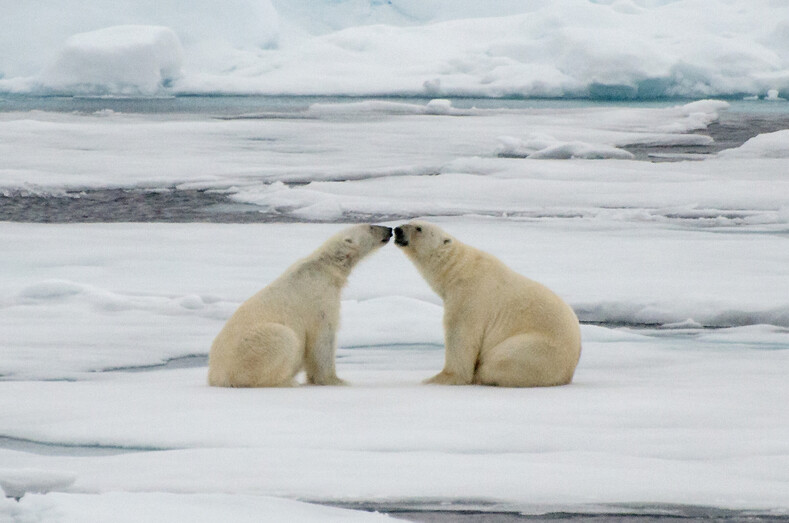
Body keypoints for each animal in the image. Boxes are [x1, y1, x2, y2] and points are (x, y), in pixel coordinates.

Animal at [208, 225, 392, 388]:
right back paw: (287, 382)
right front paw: (335, 380)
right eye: (371, 227)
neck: (324, 267)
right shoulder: (319, 300)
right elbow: (322, 339)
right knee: (283, 338)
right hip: (250, 350)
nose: (389, 229)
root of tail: (217, 377)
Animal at [392, 221, 580, 388]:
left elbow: (460, 334)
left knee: (501, 359)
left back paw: (481, 375)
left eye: (419, 228)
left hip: (536, 349)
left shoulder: (470, 296)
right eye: (409, 222)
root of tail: (569, 372)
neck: (459, 269)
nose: (397, 230)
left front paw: (439, 378)